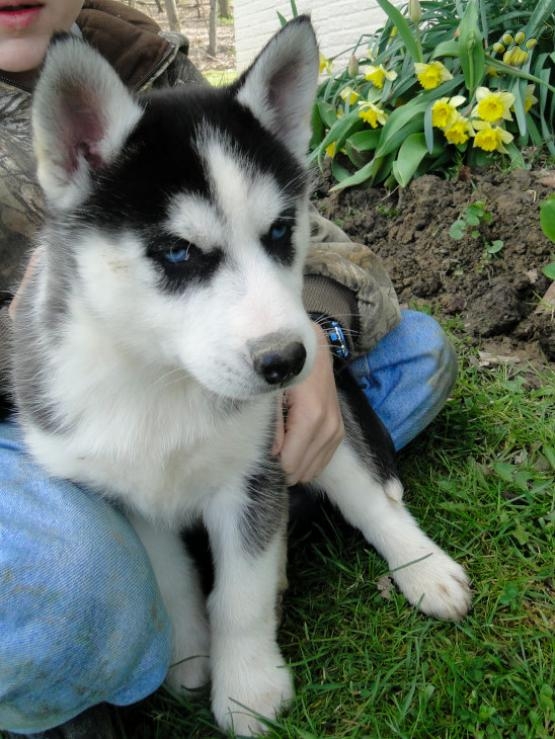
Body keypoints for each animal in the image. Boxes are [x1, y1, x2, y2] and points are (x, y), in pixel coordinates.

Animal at [10, 15, 472, 736]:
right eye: (176, 251)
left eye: (281, 230)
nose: (289, 360)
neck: (160, 381)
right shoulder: (126, 491)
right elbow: (171, 580)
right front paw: (188, 656)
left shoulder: (255, 469)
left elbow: (242, 593)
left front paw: (249, 686)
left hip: (320, 432)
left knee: (374, 501)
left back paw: (426, 570)